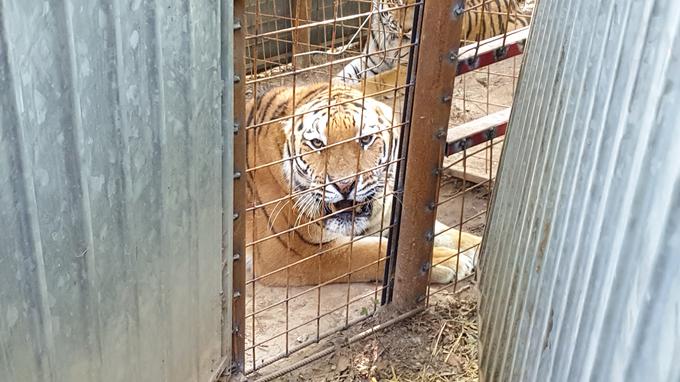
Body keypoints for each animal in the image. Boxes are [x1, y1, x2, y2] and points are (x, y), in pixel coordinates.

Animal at [244, 83, 478, 286]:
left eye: (366, 139)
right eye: (317, 143)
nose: (344, 185)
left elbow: (439, 230)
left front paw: (474, 246)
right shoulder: (295, 252)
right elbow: (371, 251)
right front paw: (446, 260)